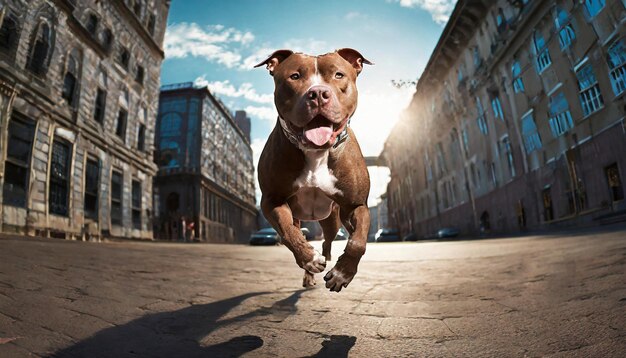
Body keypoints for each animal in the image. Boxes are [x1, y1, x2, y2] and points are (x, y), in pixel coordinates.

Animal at [254, 49, 370, 292]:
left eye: (338, 75)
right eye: (295, 76)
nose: (317, 93)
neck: (316, 151)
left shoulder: (355, 205)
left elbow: (358, 241)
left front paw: (342, 274)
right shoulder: (272, 200)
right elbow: (288, 232)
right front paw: (309, 258)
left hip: (333, 220)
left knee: (328, 241)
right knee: (299, 231)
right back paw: (310, 270)